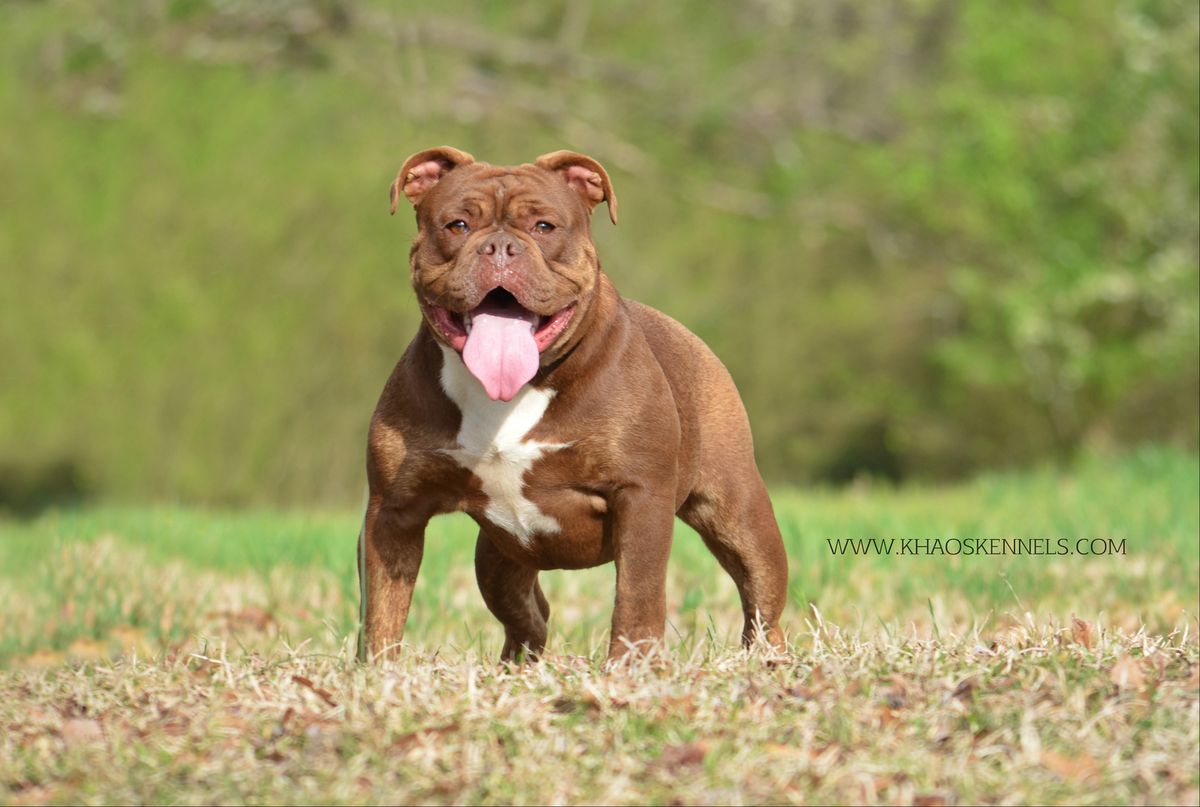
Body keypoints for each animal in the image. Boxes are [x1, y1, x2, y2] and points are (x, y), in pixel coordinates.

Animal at [355, 145, 787, 662]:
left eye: (544, 227)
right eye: (457, 225)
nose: (500, 247)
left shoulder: (639, 499)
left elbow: (637, 599)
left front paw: (630, 667)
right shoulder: (393, 512)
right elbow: (382, 612)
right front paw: (377, 671)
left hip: (738, 514)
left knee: (761, 598)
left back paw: (767, 659)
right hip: (499, 558)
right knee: (528, 614)